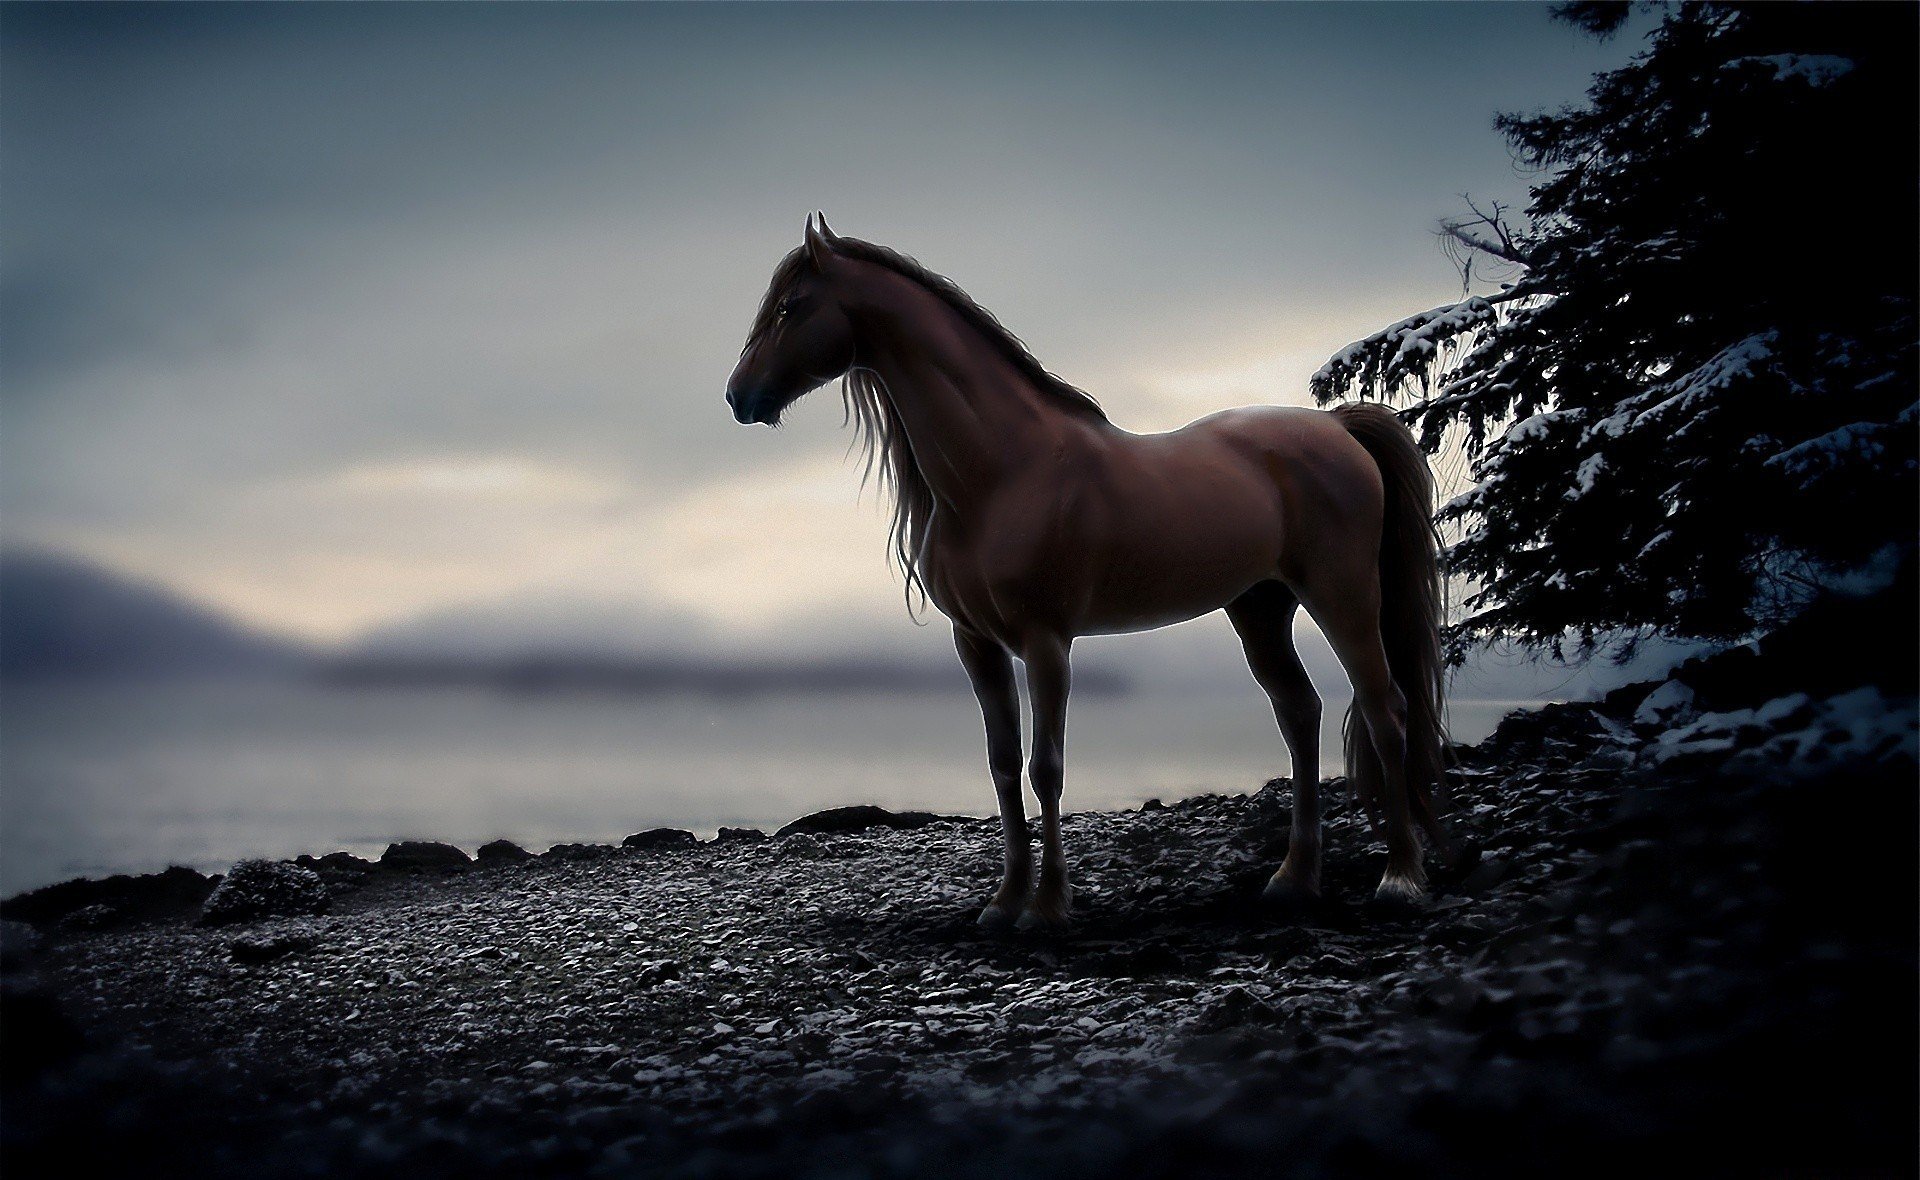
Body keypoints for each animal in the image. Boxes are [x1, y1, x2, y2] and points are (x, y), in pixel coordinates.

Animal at [725, 214, 1466, 929]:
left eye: (790, 307)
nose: (738, 396)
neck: (1005, 471)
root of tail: (1338, 430)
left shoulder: (1047, 641)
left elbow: (1046, 768)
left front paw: (1049, 907)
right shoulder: (977, 643)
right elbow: (1003, 767)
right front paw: (1004, 903)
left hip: (1343, 596)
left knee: (1385, 710)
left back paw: (1400, 880)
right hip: (1260, 608)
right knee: (1299, 713)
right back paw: (1293, 880)